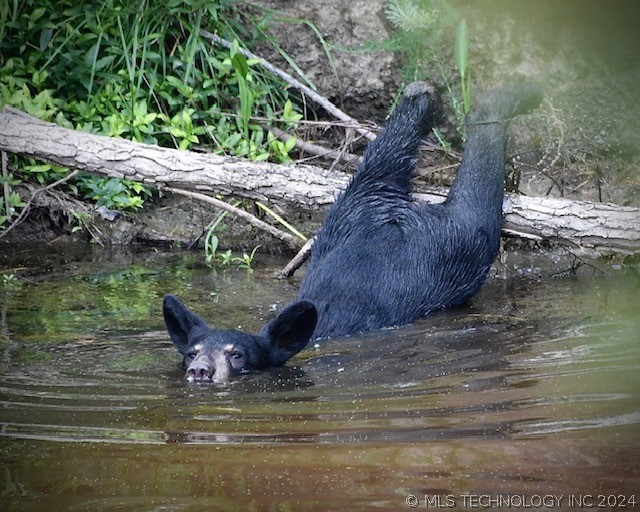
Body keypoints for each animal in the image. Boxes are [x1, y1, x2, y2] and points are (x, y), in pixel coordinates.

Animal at [164, 82, 540, 382]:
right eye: (190, 352)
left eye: (237, 355)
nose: (200, 369)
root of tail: (398, 213)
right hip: (353, 203)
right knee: (386, 156)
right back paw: (425, 97)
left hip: (456, 247)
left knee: (476, 209)